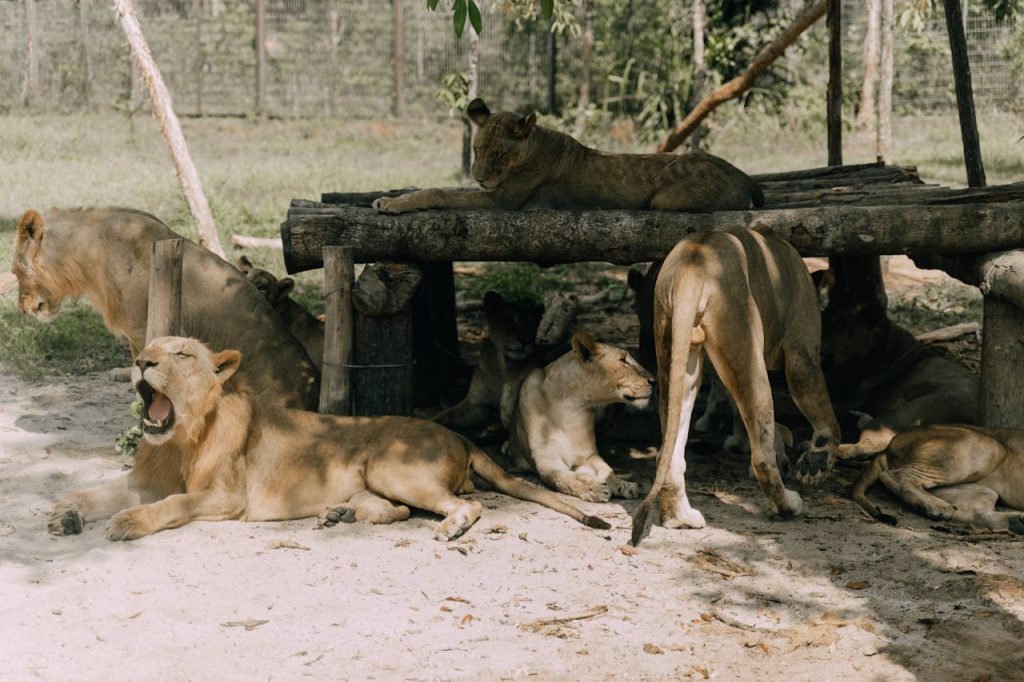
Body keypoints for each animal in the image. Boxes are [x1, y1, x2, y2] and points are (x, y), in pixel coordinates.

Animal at [47, 336, 611, 542]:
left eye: (181, 353)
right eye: (148, 346)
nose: (141, 361)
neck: (181, 437)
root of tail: (458, 436)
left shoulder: (225, 497)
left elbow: (173, 505)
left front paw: (129, 522)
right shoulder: (146, 480)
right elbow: (91, 491)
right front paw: (65, 512)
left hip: (391, 465)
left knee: (467, 506)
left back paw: (449, 529)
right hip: (379, 480)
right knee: (396, 510)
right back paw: (338, 514)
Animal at [373, 98, 763, 214]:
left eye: (499, 155)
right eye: (477, 149)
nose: (480, 177)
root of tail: (743, 175)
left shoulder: (502, 201)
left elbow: (439, 192)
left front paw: (391, 204)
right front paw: (390, 196)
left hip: (666, 199)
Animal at [502, 332, 653, 502]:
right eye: (623, 360)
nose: (654, 381)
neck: (570, 405)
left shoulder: (587, 456)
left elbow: (608, 470)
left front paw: (623, 485)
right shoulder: (547, 461)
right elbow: (561, 478)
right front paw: (593, 489)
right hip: (508, 390)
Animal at [631, 229, 842, 545]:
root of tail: (693, 265)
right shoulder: (801, 351)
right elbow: (822, 412)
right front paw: (814, 463)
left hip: (677, 355)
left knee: (669, 449)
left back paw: (681, 518)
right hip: (746, 347)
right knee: (762, 455)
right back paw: (787, 505)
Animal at [852, 424, 1024, 533]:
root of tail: (891, 443)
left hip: (981, 489)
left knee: (973, 513)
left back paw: (1017, 522)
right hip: (989, 447)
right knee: (893, 475)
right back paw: (938, 507)